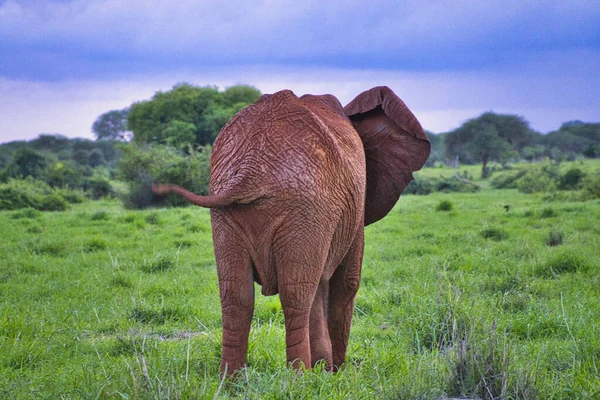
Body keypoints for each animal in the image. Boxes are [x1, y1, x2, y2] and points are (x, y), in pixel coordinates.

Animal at [152, 86, 428, 376]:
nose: (336, 369)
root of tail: (250, 167)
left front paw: (325, 369)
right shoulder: (353, 207)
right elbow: (347, 283)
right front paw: (336, 373)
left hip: (228, 209)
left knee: (236, 296)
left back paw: (231, 381)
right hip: (306, 207)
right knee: (295, 294)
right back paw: (298, 378)